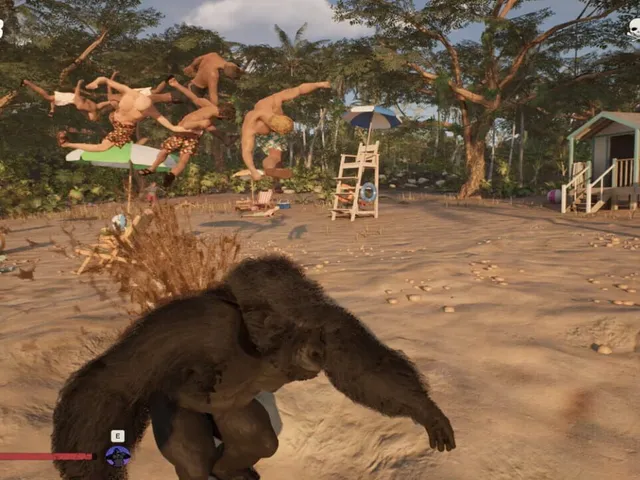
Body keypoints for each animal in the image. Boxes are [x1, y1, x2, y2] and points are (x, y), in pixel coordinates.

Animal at [51, 255, 455, 480]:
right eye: (292, 327)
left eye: (315, 331)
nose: (315, 351)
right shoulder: (185, 327)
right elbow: (114, 383)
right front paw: (88, 472)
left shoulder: (336, 326)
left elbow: (368, 374)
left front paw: (429, 414)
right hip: (166, 405)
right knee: (192, 457)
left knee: (254, 435)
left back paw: (229, 469)